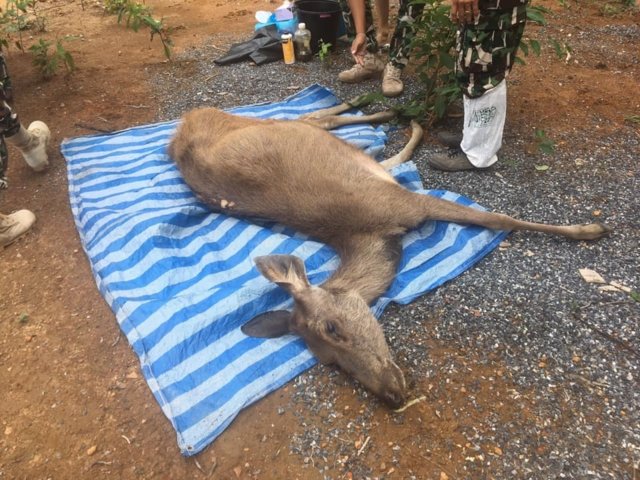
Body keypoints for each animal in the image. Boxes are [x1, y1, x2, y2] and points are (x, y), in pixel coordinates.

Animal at [168, 100, 610, 409]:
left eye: (333, 328)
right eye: (328, 362)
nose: (392, 395)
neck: (369, 235)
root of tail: (186, 121)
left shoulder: (408, 203)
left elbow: (499, 218)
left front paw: (589, 230)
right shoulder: (398, 197)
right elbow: (399, 164)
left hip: (273, 124)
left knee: (316, 118)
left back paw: (385, 110)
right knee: (327, 125)